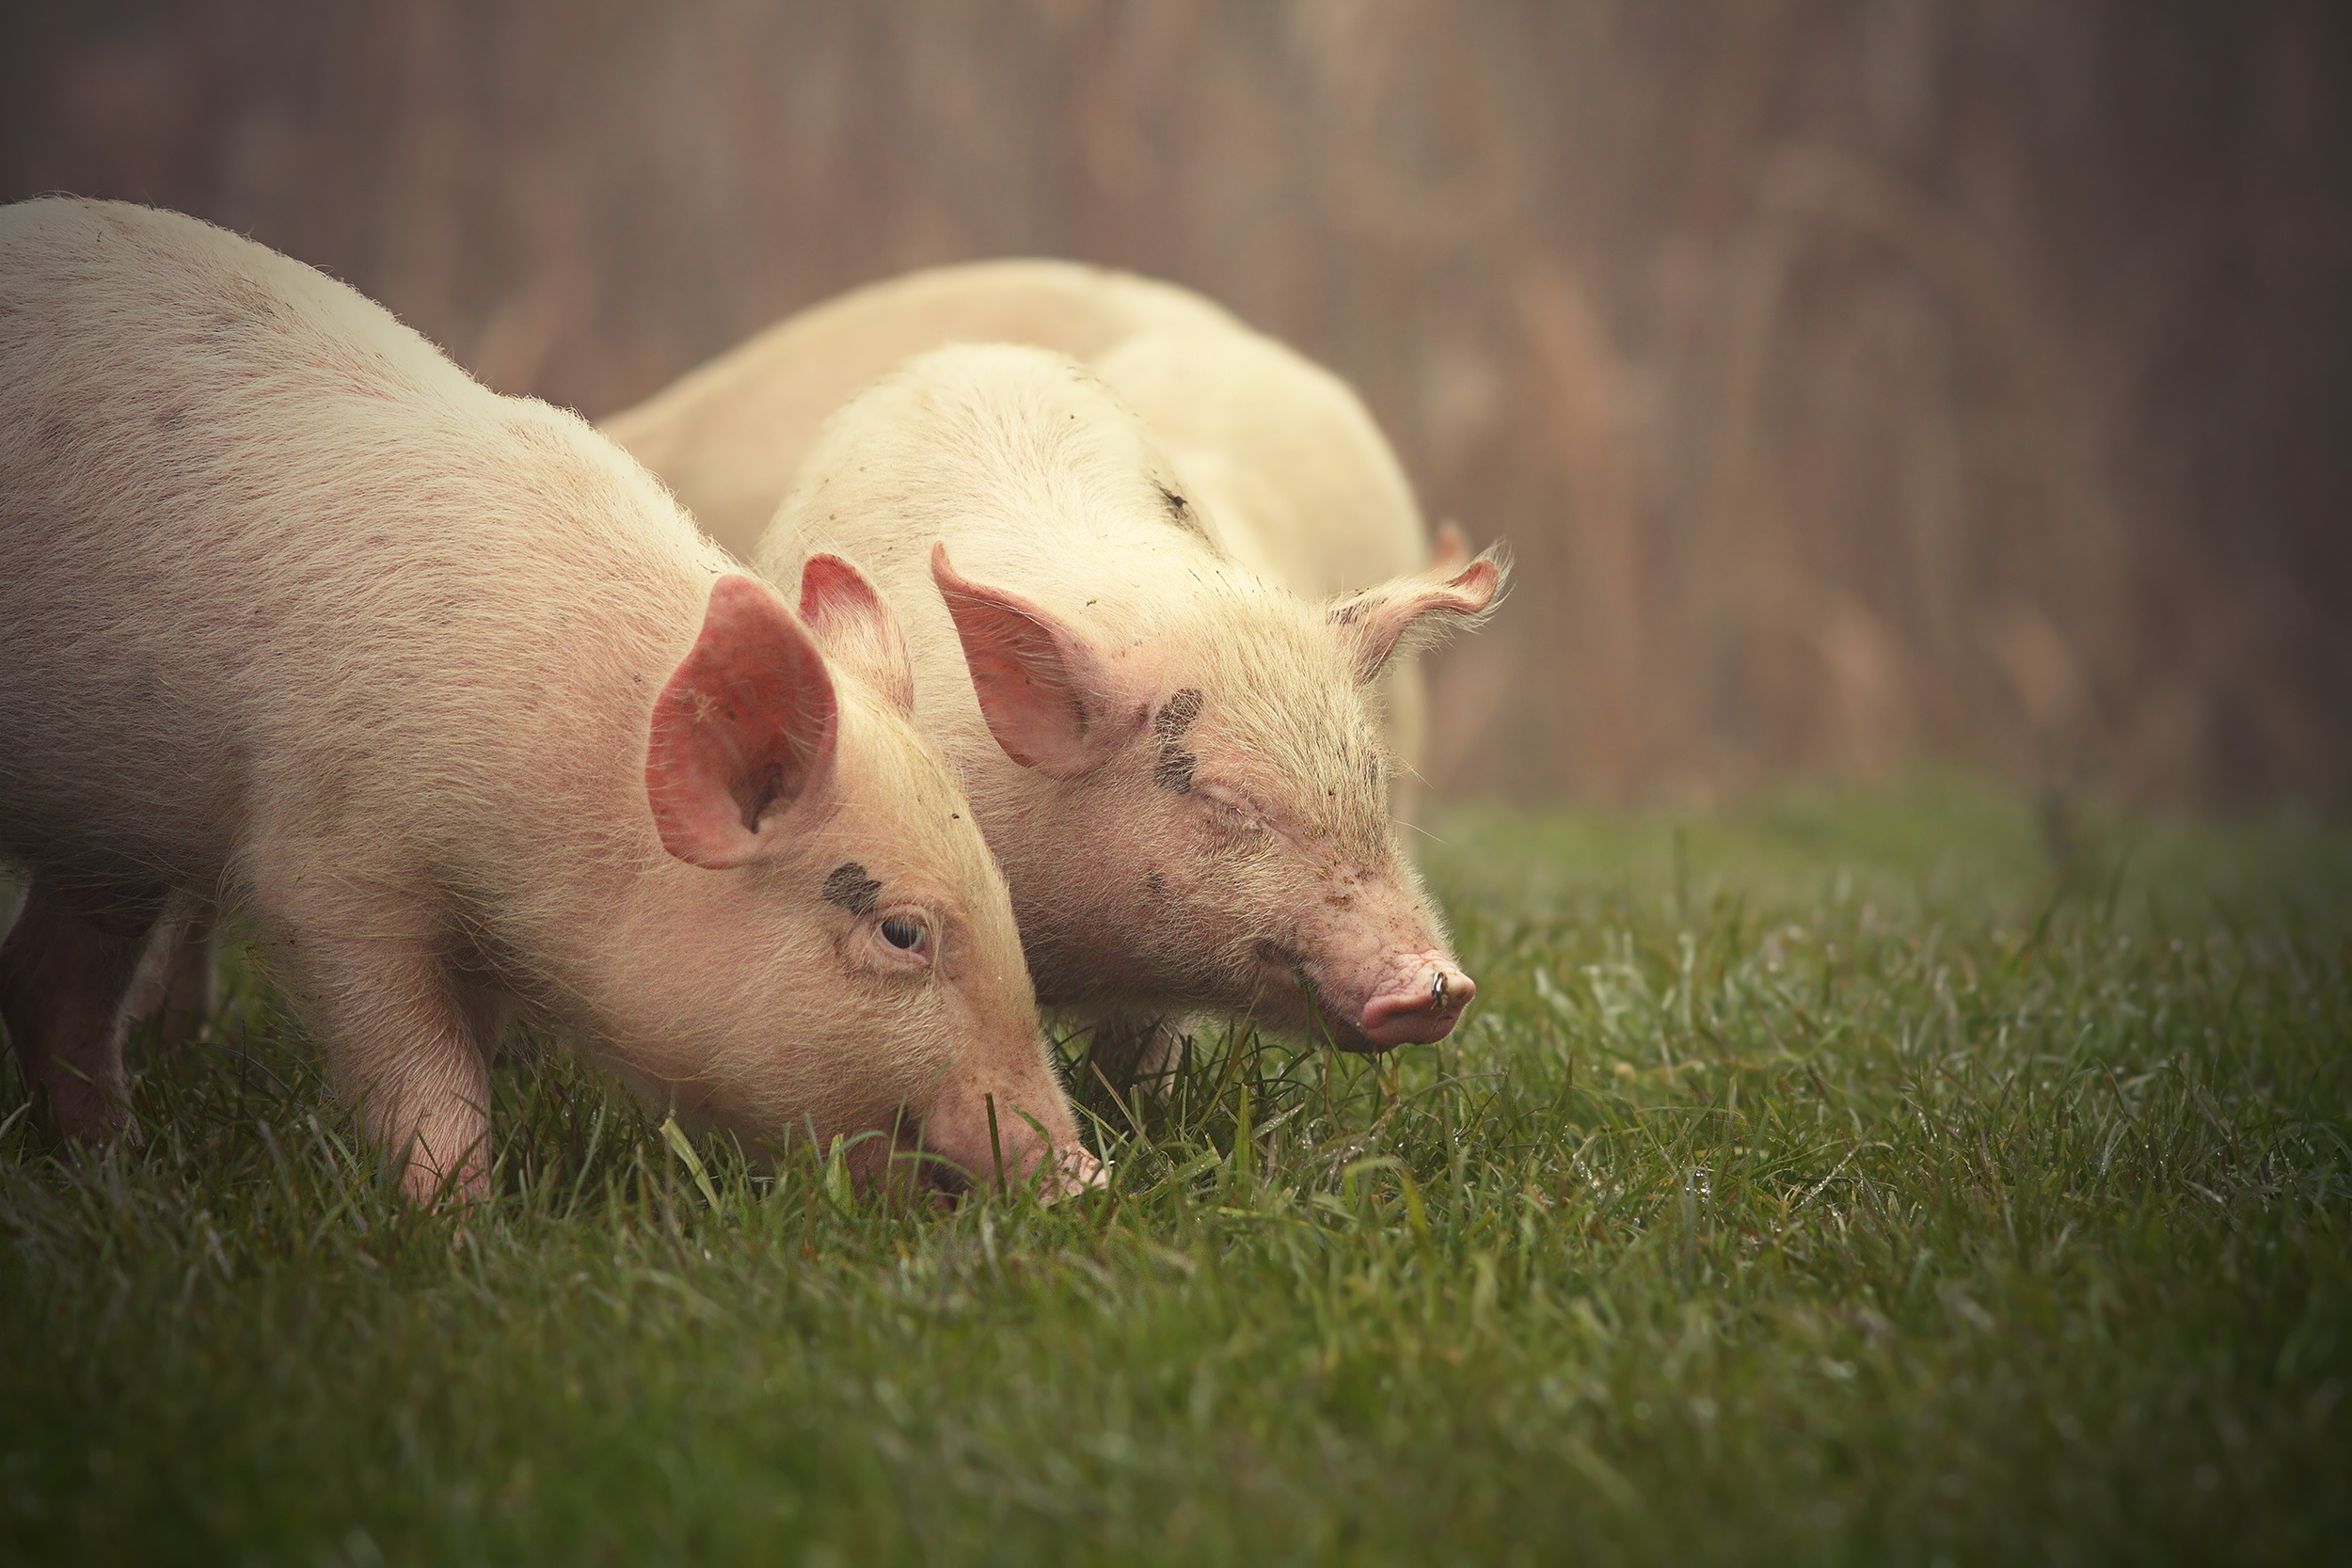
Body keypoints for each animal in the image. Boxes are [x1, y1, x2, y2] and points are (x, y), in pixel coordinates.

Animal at [0, 196, 1091, 1203]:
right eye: (901, 932)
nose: (1084, 1173)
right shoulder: (327, 866)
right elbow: (420, 1078)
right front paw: (457, 1226)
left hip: (104, 831)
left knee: (47, 976)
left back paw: (114, 1174)